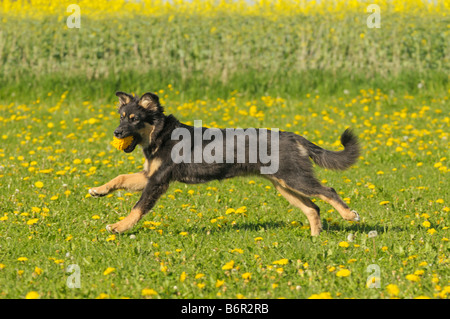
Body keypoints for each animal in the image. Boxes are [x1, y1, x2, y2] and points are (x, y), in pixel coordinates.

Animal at [89, 91, 360, 236]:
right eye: (121, 117)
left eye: (134, 119)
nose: (116, 133)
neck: (161, 134)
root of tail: (294, 136)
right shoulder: (148, 176)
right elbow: (120, 179)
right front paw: (99, 190)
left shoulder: (157, 182)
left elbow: (137, 208)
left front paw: (119, 227)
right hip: (284, 185)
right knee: (313, 208)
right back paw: (315, 238)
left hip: (294, 178)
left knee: (328, 191)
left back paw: (348, 215)